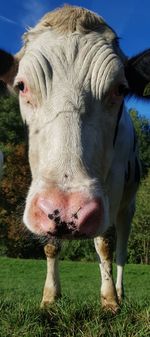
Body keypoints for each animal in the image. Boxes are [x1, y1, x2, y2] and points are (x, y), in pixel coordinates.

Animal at [0, 5, 149, 312]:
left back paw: (120, 291)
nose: (69, 210)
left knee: (121, 248)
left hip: (128, 204)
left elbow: (104, 243)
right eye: (21, 86)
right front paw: (49, 297)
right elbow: (50, 243)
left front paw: (109, 301)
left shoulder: (112, 188)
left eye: (120, 89)